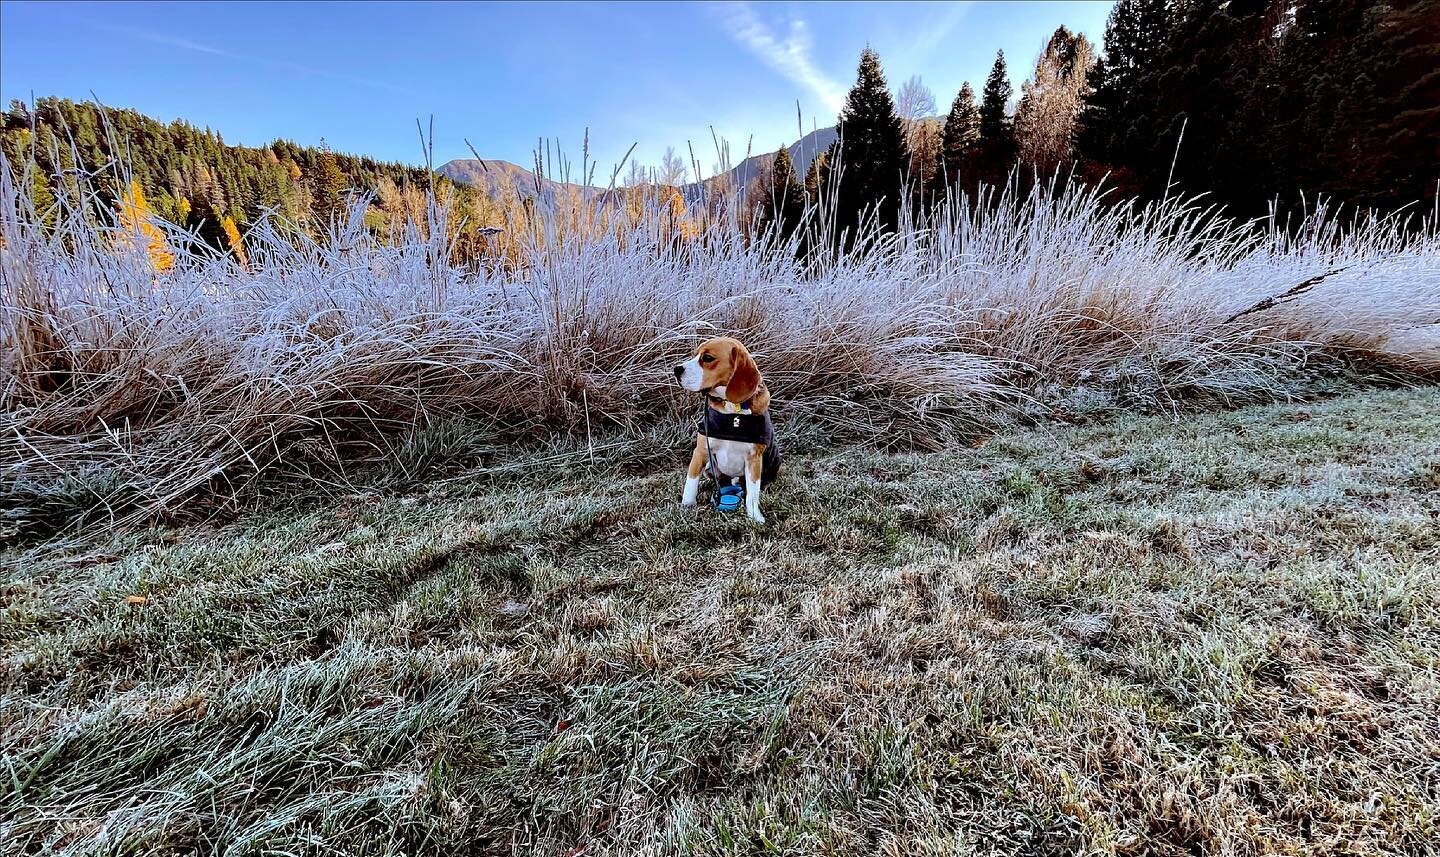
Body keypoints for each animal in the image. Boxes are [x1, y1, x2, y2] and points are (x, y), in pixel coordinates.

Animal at [671, 335, 777, 524]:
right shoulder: (701, 451)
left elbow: (753, 493)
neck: (732, 410)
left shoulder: (754, 459)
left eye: (707, 358)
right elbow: (691, 483)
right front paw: (687, 506)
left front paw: (755, 516)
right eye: (695, 354)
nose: (676, 370)